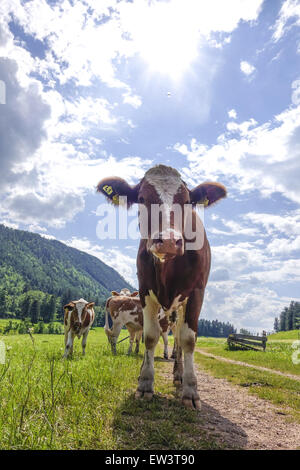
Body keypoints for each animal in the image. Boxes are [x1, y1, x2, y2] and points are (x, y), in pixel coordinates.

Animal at [97, 164, 226, 408]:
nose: (167, 241)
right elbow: (149, 336)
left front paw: (191, 390)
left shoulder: (196, 293)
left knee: (179, 338)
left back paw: (179, 375)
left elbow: (188, 340)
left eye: (187, 201)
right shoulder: (145, 291)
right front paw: (145, 383)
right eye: (141, 198)